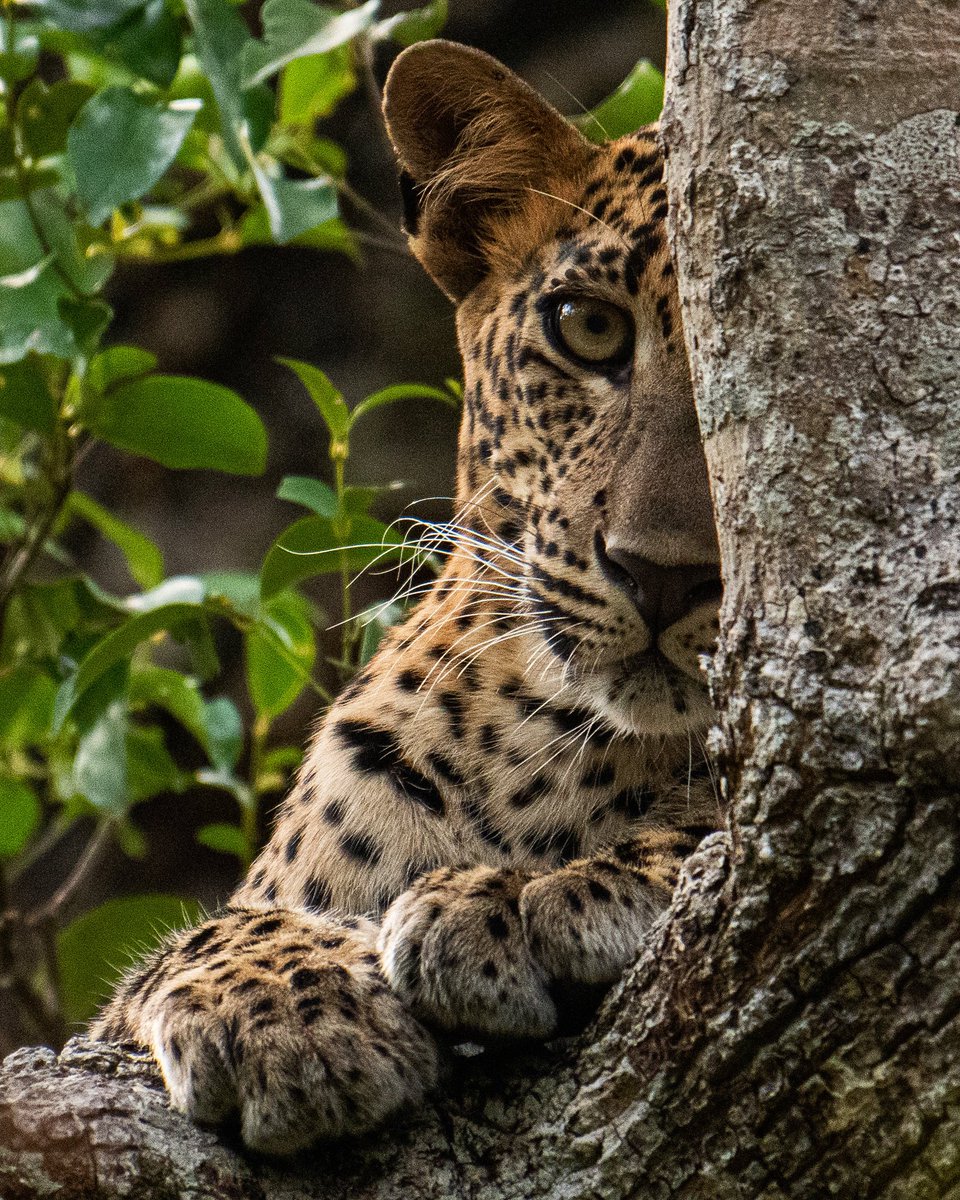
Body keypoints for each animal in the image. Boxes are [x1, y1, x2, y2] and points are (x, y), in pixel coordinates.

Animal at [91, 39, 724, 1154]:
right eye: (590, 329)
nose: (662, 573)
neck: (554, 754)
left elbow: (711, 825)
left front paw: (530, 895)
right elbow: (203, 935)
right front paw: (291, 1015)